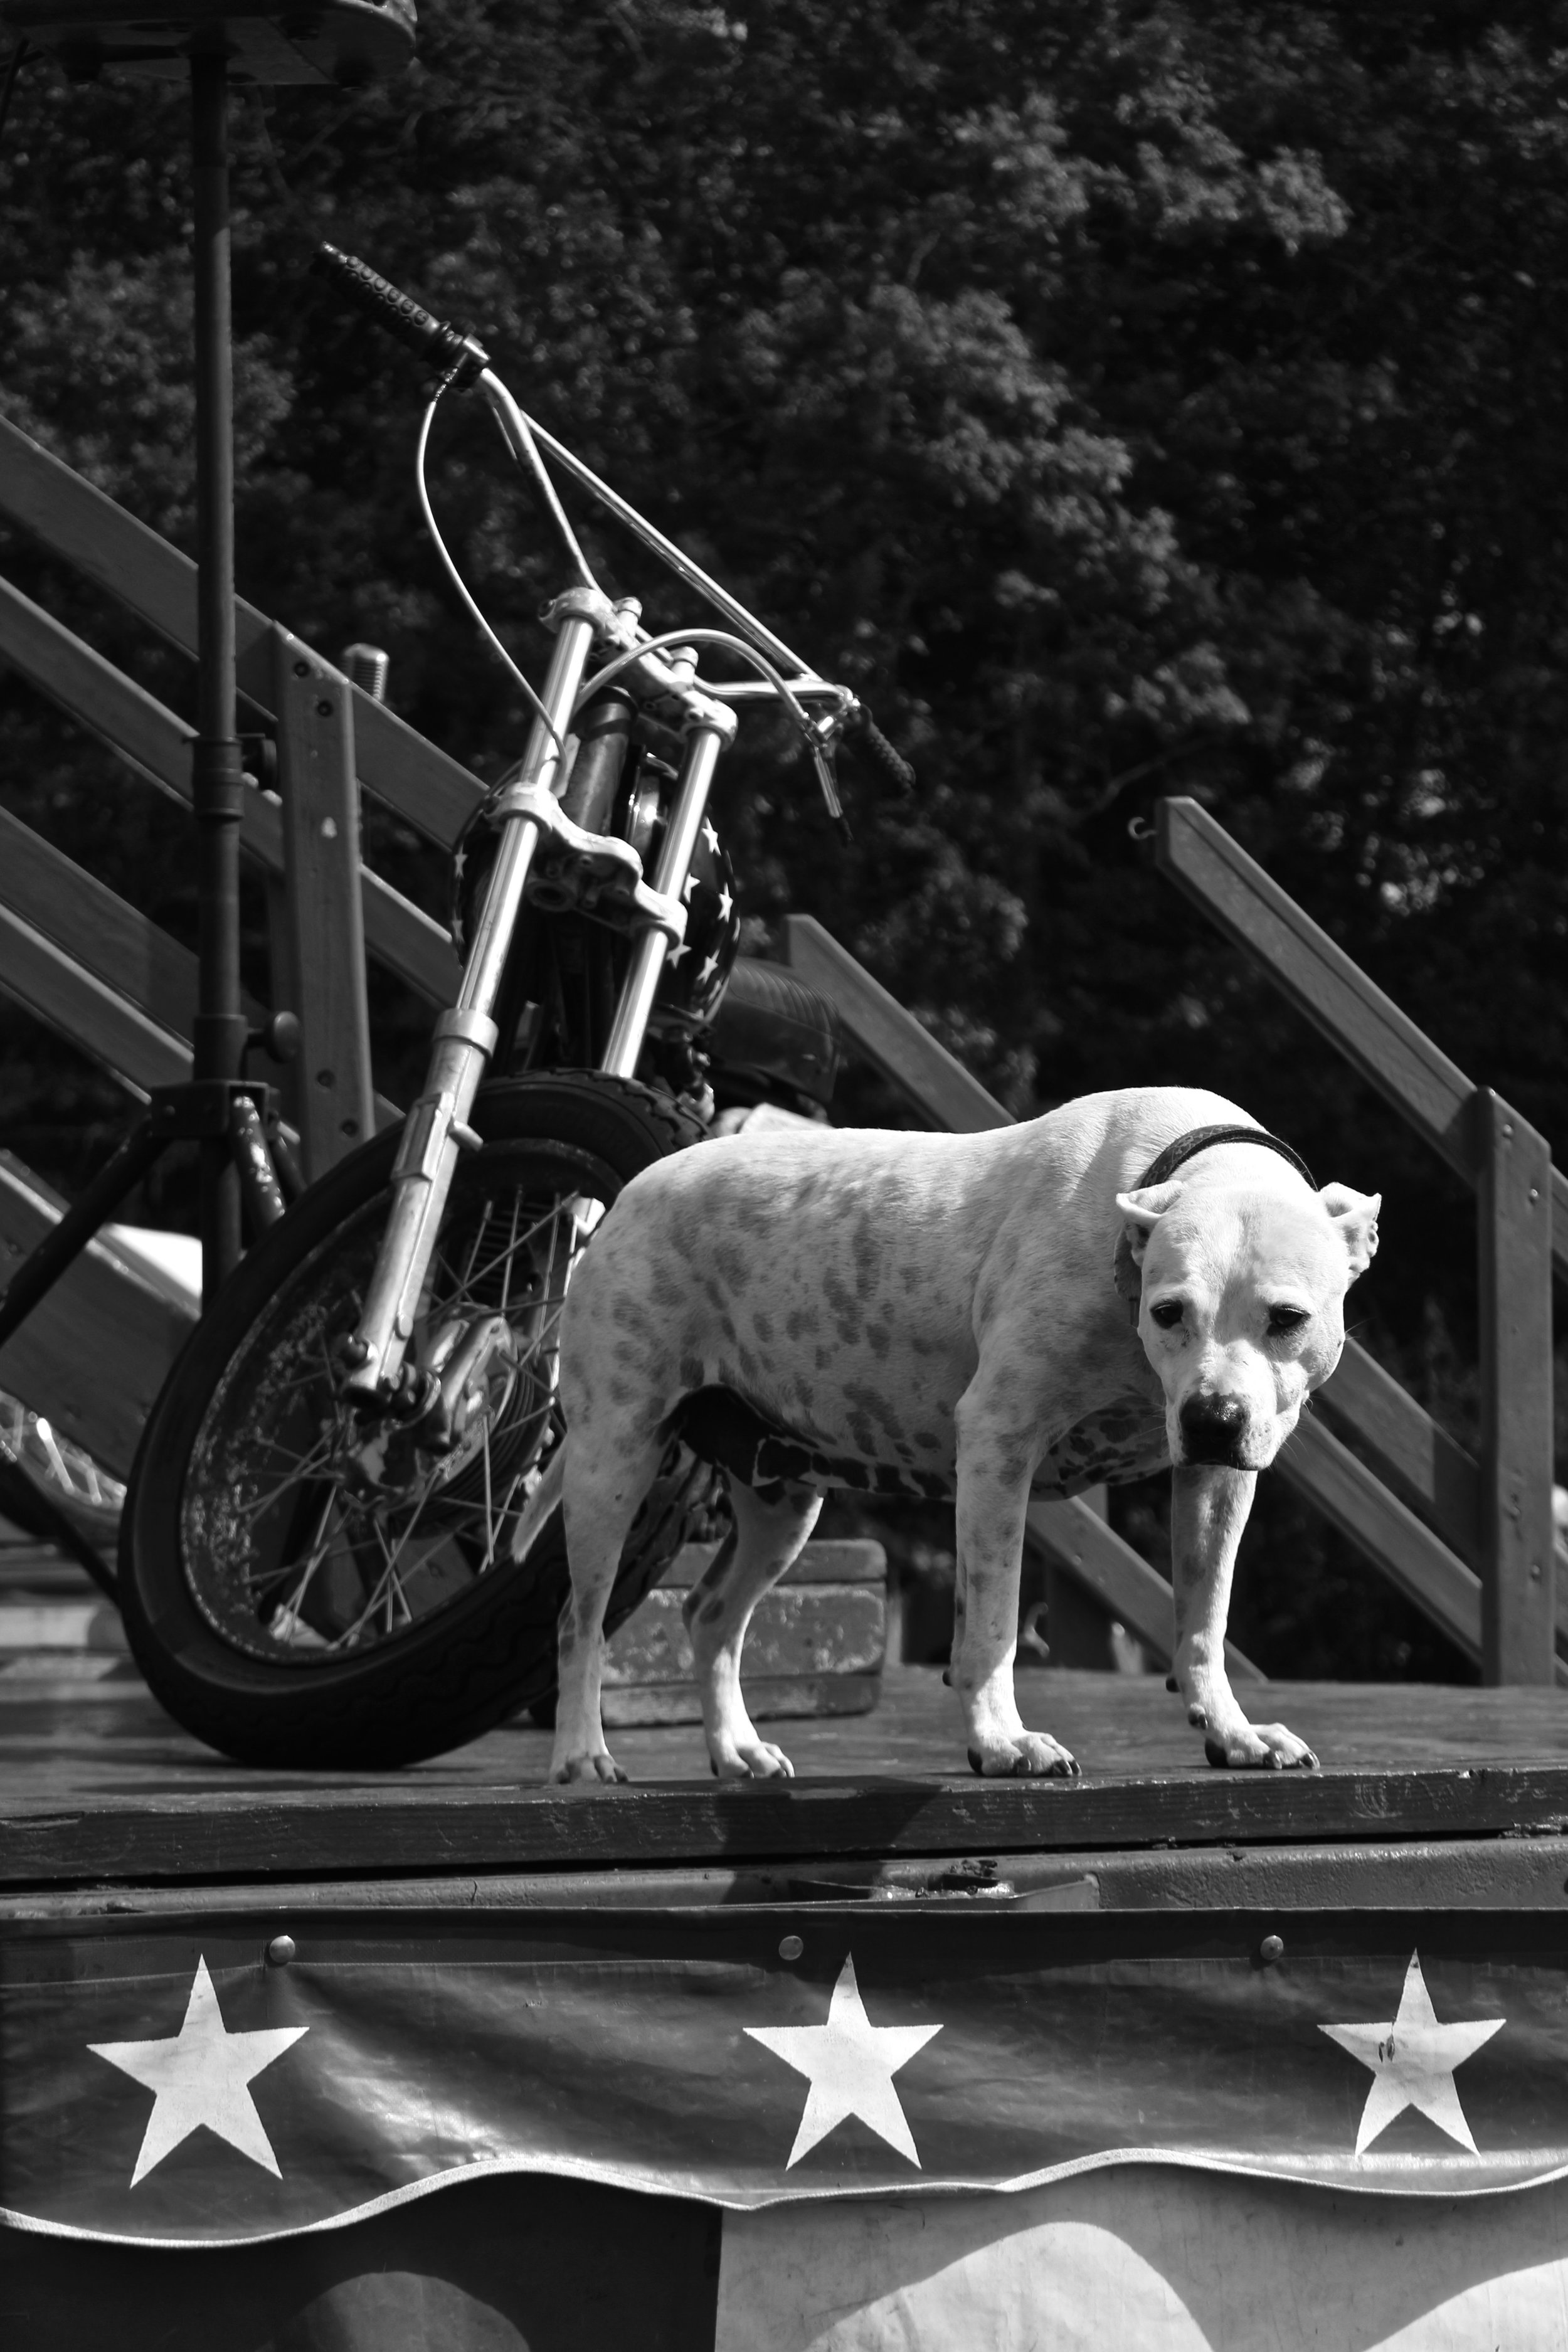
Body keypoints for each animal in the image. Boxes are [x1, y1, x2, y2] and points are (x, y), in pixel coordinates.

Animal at [545, 1082, 1382, 1778]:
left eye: (1287, 1319)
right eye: (1169, 1311)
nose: (1212, 1418)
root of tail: (634, 1189)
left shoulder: (1212, 1483)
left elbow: (1204, 1620)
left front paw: (1234, 1732)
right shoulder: (997, 1444)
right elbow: (992, 1623)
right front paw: (1002, 1742)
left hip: (782, 1497)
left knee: (711, 1613)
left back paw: (737, 1750)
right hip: (611, 1461)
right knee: (579, 1620)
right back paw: (583, 1756)